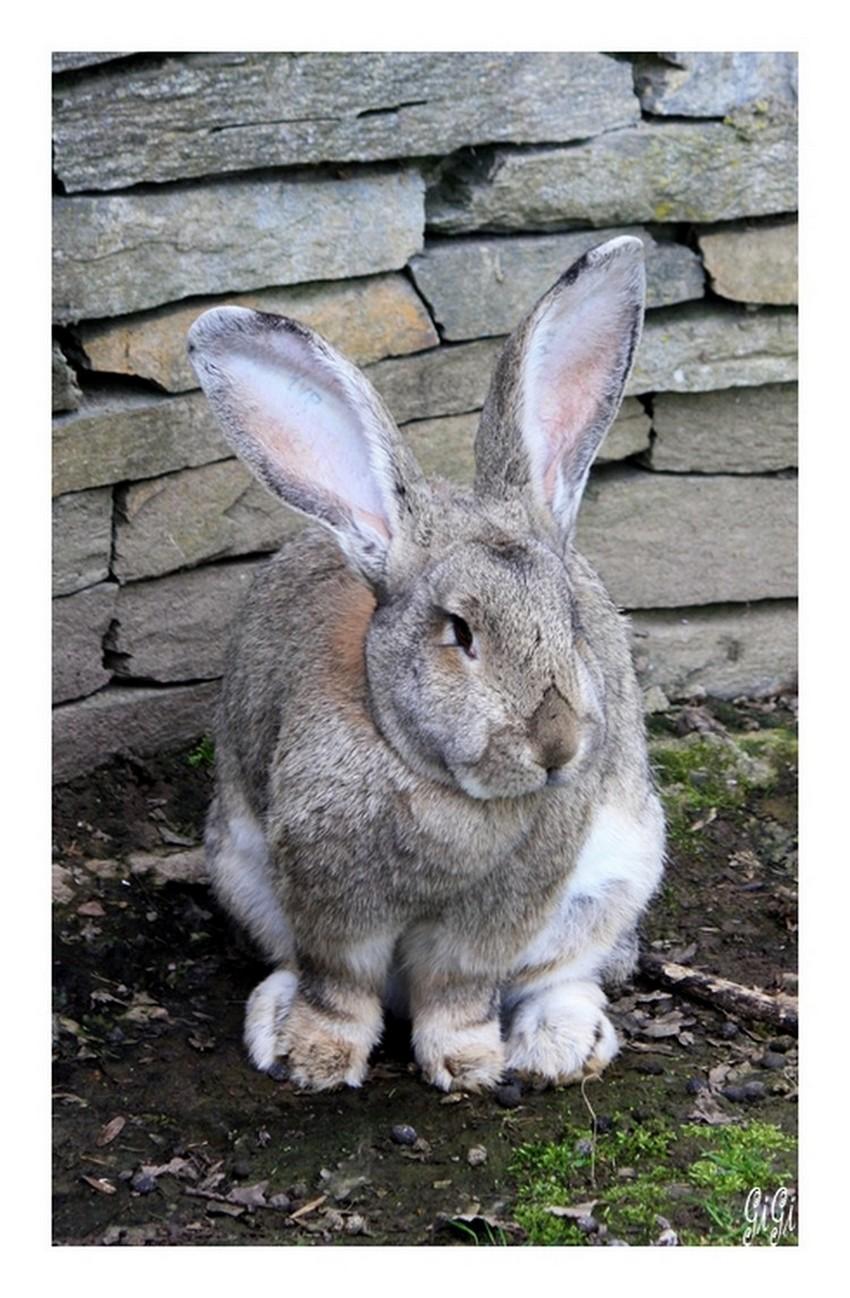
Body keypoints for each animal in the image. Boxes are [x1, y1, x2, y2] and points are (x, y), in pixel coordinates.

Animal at [187, 234, 665, 1094]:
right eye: (460, 631)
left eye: (572, 618)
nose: (556, 745)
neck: (436, 782)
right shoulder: (326, 896)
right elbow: (337, 983)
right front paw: (317, 1058)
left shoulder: (497, 918)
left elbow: (460, 988)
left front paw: (471, 1064)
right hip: (241, 872)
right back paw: (274, 1024)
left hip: (613, 885)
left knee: (567, 973)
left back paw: (558, 1046)